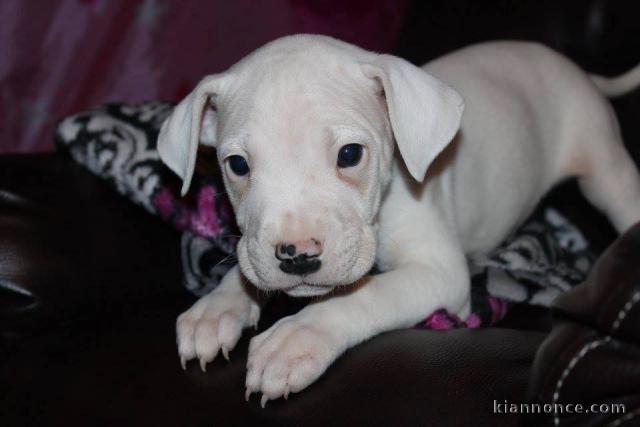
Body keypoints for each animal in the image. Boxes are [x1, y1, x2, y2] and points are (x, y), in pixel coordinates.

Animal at [156, 35, 640, 406]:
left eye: (350, 154)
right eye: (237, 165)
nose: (297, 257)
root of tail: (576, 69)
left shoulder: (440, 275)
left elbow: (365, 293)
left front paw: (299, 337)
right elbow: (246, 270)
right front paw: (217, 308)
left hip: (604, 167)